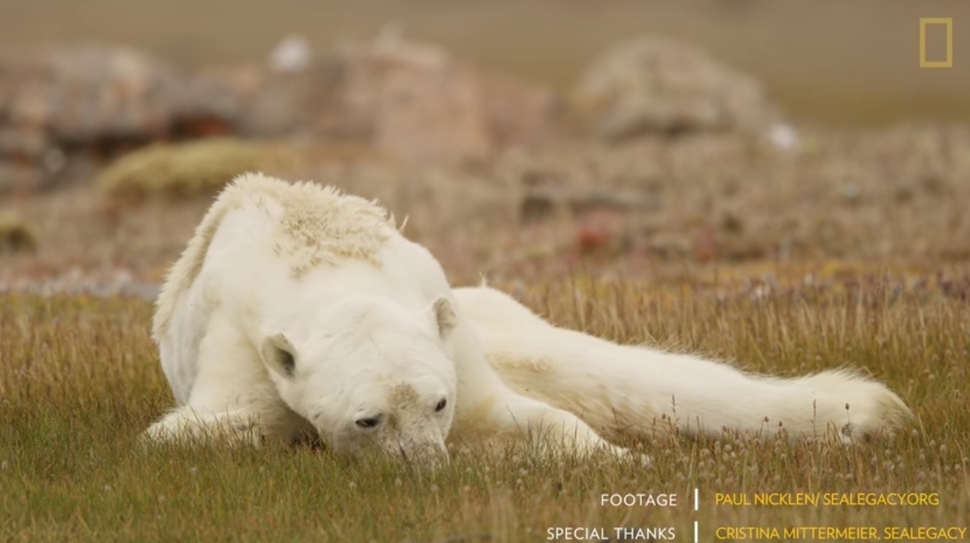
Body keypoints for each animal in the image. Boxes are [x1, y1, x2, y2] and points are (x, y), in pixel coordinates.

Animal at [150, 171, 620, 464]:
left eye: (439, 402)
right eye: (368, 420)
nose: (429, 467)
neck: (330, 269)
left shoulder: (447, 331)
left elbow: (497, 414)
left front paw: (617, 456)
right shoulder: (239, 341)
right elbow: (210, 424)